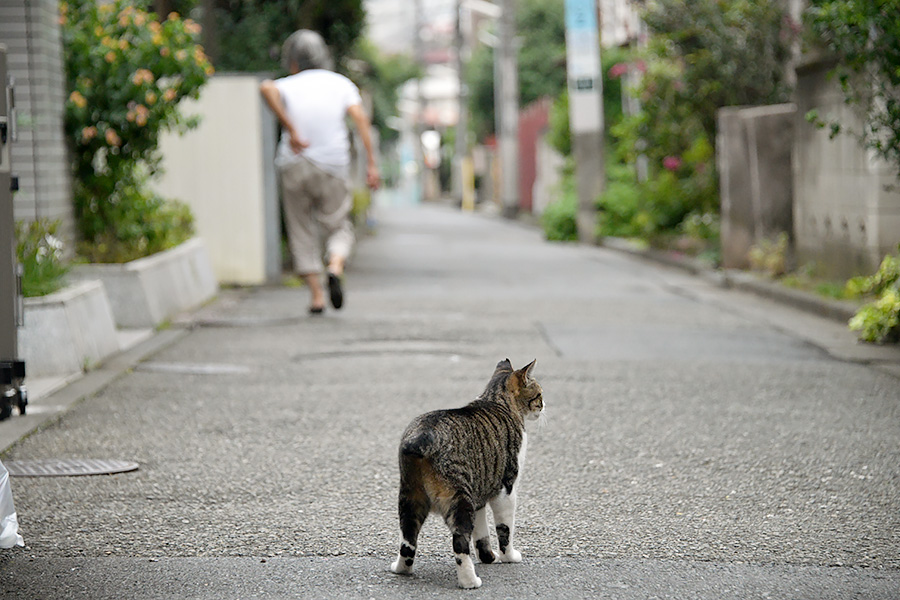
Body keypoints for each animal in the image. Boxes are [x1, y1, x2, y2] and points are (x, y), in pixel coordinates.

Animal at [390, 358, 544, 588]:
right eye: (539, 394)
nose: (544, 406)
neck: (496, 400)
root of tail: (423, 436)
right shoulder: (507, 490)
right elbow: (504, 530)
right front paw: (509, 556)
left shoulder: (479, 493)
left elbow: (481, 535)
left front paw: (488, 557)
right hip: (459, 499)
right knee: (460, 543)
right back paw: (470, 581)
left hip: (410, 499)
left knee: (408, 541)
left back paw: (401, 569)